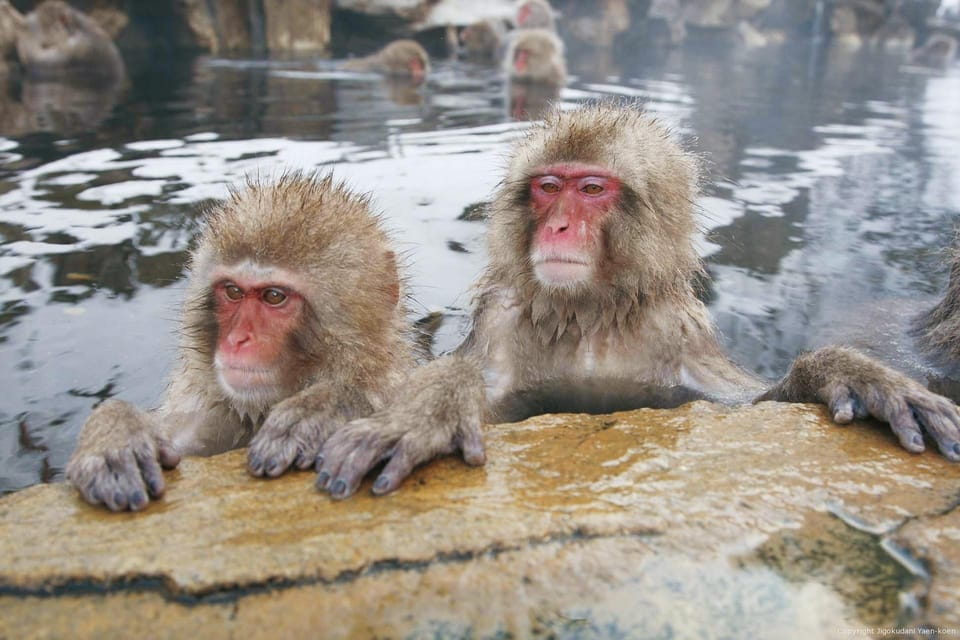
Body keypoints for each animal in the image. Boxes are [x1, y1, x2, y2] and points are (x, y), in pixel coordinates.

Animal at [313, 103, 960, 501]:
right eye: (549, 187)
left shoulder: (684, 337)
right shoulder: (501, 320)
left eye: (592, 189)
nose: (559, 227)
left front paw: (845, 372)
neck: (590, 316)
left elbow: (748, 402)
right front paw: (432, 407)